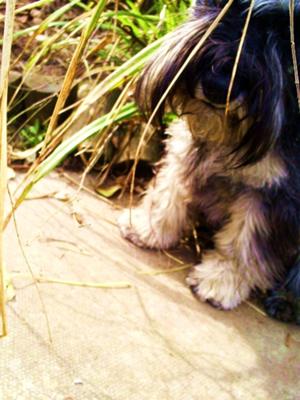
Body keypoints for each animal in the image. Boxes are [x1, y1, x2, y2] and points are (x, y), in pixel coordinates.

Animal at [118, 0, 300, 324]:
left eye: (285, 29)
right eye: (222, 5)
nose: (217, 86)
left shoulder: (273, 193)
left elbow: (246, 239)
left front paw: (221, 280)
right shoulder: (189, 147)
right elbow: (169, 191)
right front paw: (147, 227)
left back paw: (286, 300)